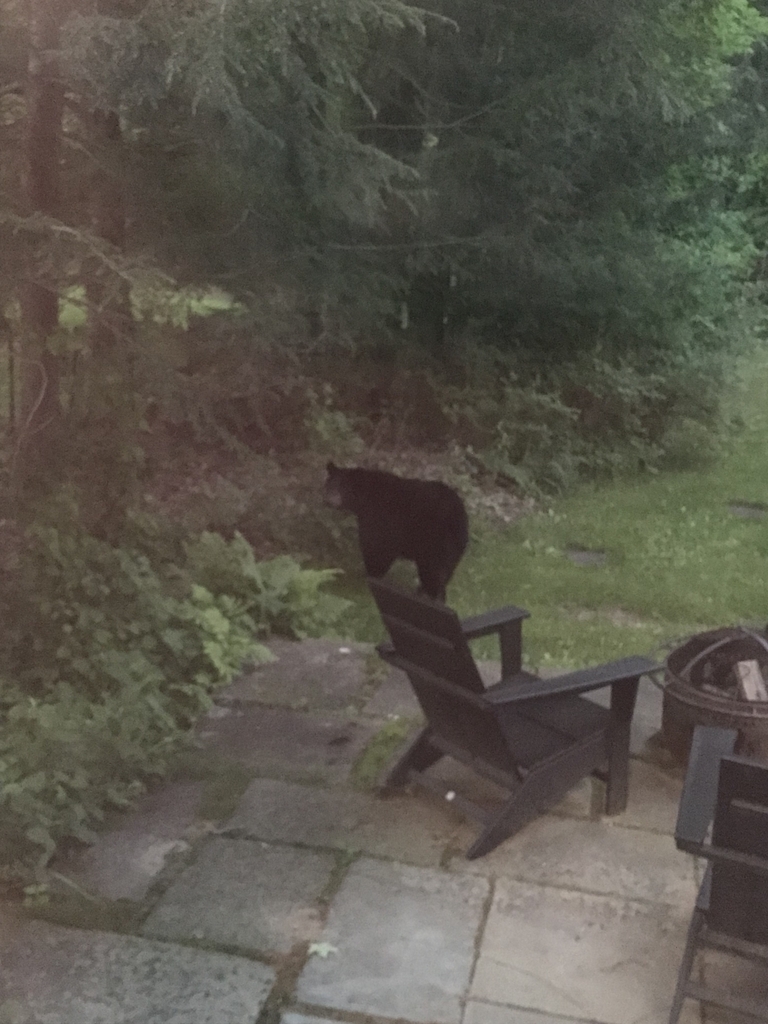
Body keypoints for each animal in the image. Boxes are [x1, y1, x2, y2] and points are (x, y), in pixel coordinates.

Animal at [325, 462, 468, 602]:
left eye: (343, 487)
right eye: (330, 484)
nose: (329, 500)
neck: (365, 498)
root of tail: (458, 513)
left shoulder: (380, 519)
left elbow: (376, 548)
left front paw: (372, 577)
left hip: (434, 541)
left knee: (433, 572)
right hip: (453, 549)